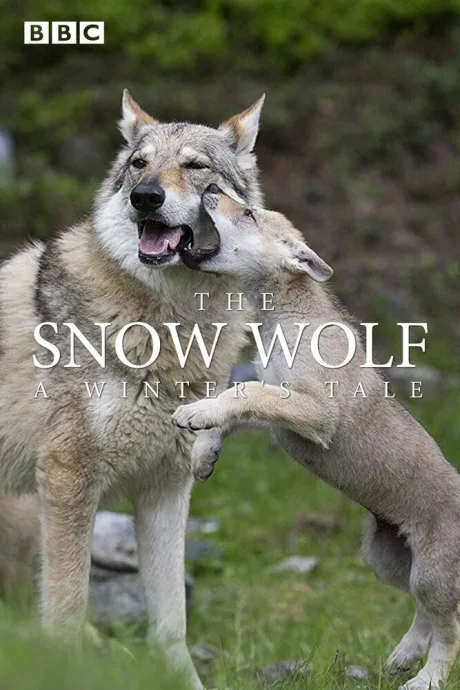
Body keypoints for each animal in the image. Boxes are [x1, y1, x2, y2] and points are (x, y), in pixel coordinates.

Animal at [0, 91, 264, 688]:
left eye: (196, 166)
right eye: (139, 165)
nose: (146, 197)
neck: (172, 326)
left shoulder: (166, 488)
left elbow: (170, 626)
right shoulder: (69, 479)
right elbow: (66, 615)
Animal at [173, 186, 460, 690]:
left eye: (248, 213)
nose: (209, 189)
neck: (283, 313)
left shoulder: (315, 412)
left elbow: (240, 392)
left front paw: (193, 415)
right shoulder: (280, 410)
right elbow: (235, 400)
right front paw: (205, 454)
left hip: (433, 571)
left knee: (450, 626)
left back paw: (425, 678)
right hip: (388, 561)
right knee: (426, 614)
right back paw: (403, 656)